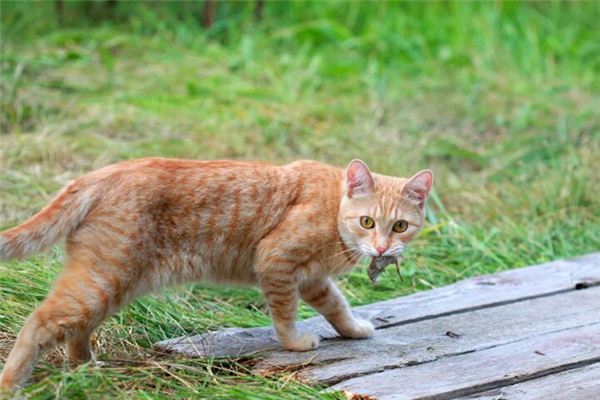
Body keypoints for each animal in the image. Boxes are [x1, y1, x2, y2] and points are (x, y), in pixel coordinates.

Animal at [0, 158, 432, 390]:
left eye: (400, 227)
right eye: (367, 221)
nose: (381, 249)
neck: (333, 207)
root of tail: (97, 174)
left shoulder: (312, 279)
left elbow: (336, 305)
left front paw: (354, 329)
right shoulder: (276, 262)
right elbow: (284, 314)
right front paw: (295, 343)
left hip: (109, 283)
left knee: (78, 329)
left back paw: (87, 368)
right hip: (103, 279)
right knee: (39, 322)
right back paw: (12, 385)